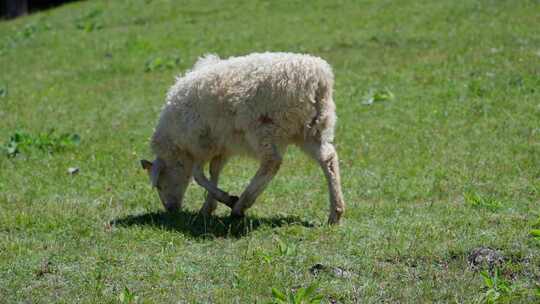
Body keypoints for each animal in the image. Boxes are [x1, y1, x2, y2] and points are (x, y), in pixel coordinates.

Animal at [140, 51, 346, 223]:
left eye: (159, 185)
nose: (170, 210)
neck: (177, 148)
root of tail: (319, 78)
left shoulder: (201, 143)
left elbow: (199, 176)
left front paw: (227, 199)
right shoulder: (221, 146)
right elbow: (214, 171)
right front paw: (209, 206)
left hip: (265, 128)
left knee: (272, 162)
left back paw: (241, 205)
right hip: (313, 128)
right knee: (328, 158)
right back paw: (336, 211)